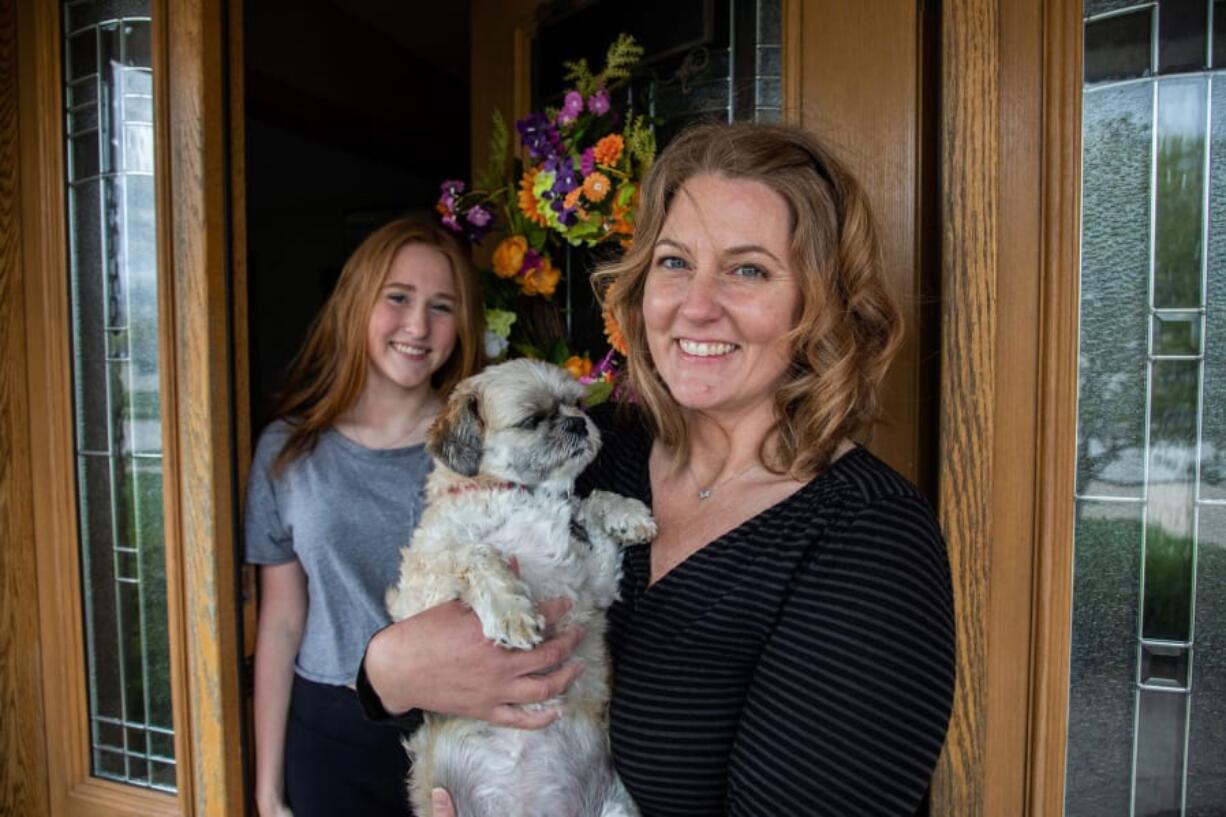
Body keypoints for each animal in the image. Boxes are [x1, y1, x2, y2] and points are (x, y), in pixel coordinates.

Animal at [384, 355, 657, 814]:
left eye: (577, 404)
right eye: (532, 420)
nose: (578, 423)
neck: (521, 495)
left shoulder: (594, 583)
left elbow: (590, 501)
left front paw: (626, 514)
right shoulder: (420, 594)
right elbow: (478, 552)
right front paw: (510, 611)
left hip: (614, 807)